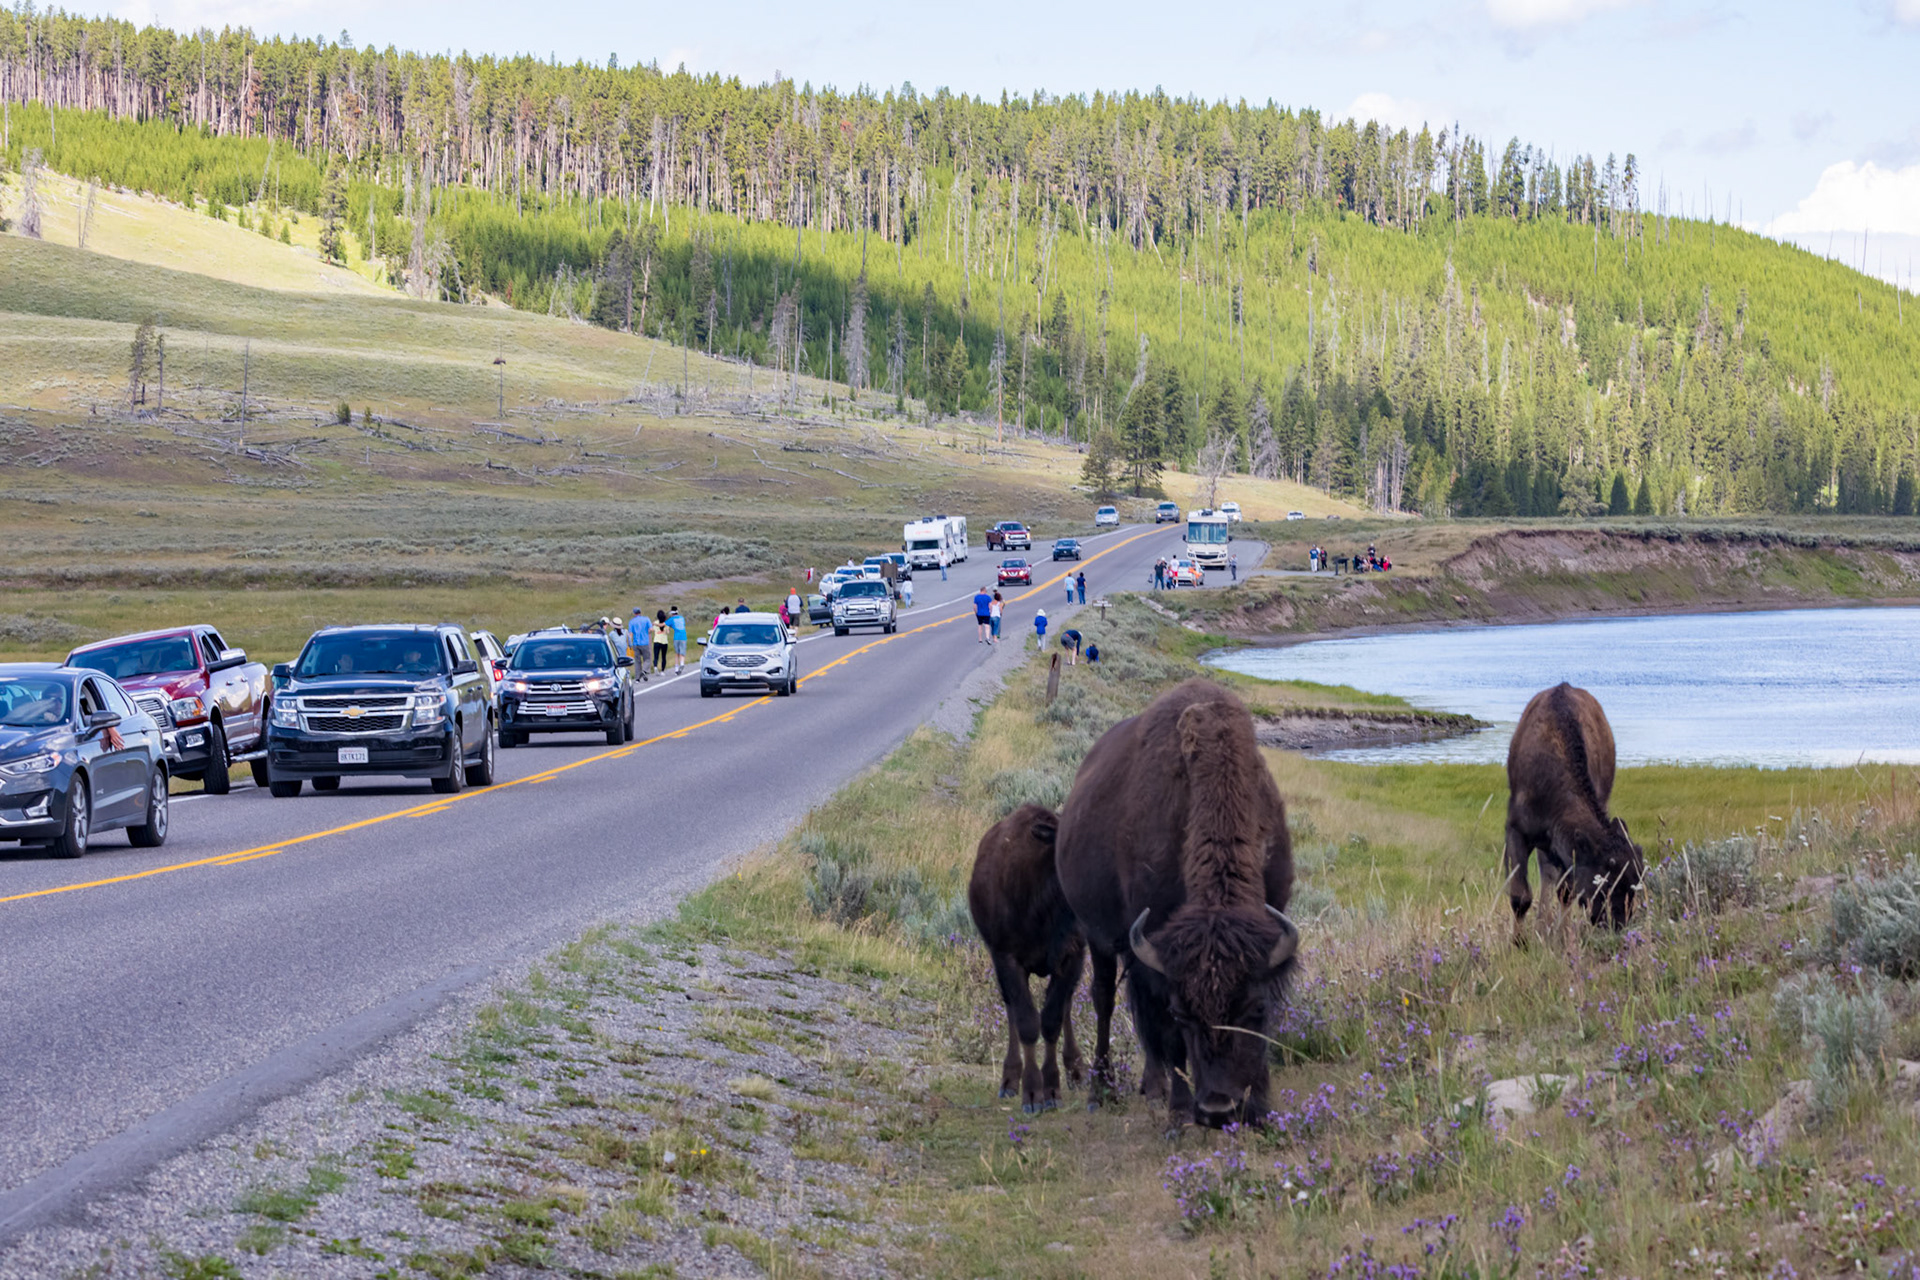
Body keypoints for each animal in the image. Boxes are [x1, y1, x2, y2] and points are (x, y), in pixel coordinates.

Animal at [968, 803, 1085, 1112]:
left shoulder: (1072, 957)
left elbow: (1052, 1020)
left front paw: (1052, 1089)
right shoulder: (1007, 958)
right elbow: (1027, 1023)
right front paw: (1032, 1093)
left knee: (1067, 1005)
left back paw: (1077, 1070)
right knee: (1011, 1009)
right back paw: (1010, 1080)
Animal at [1056, 679, 1298, 1128]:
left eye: (1254, 1010)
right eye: (1184, 1014)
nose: (1218, 1110)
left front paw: (1259, 1111)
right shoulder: (1158, 957)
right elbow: (1167, 1034)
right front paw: (1180, 1114)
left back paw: (1152, 1087)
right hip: (1097, 936)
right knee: (1105, 999)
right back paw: (1103, 1090)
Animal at [1504, 682, 1644, 932]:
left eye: (1634, 885)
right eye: (1605, 884)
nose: (1618, 925)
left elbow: (1566, 894)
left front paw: (1559, 936)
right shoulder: (1516, 829)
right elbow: (1520, 897)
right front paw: (1520, 940)